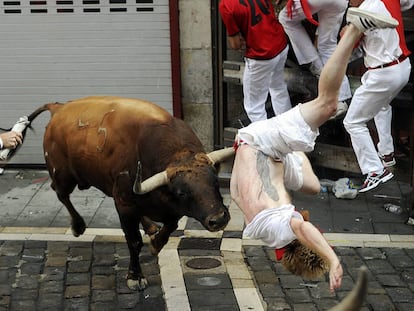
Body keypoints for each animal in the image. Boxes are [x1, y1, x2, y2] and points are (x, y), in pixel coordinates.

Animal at [25, 96, 233, 292]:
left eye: (215, 181)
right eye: (182, 193)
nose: (219, 219)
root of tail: (59, 108)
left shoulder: (169, 209)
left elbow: (170, 227)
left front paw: (156, 243)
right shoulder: (124, 204)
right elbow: (134, 241)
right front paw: (135, 276)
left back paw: (150, 226)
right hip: (63, 175)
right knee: (60, 193)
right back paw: (78, 226)